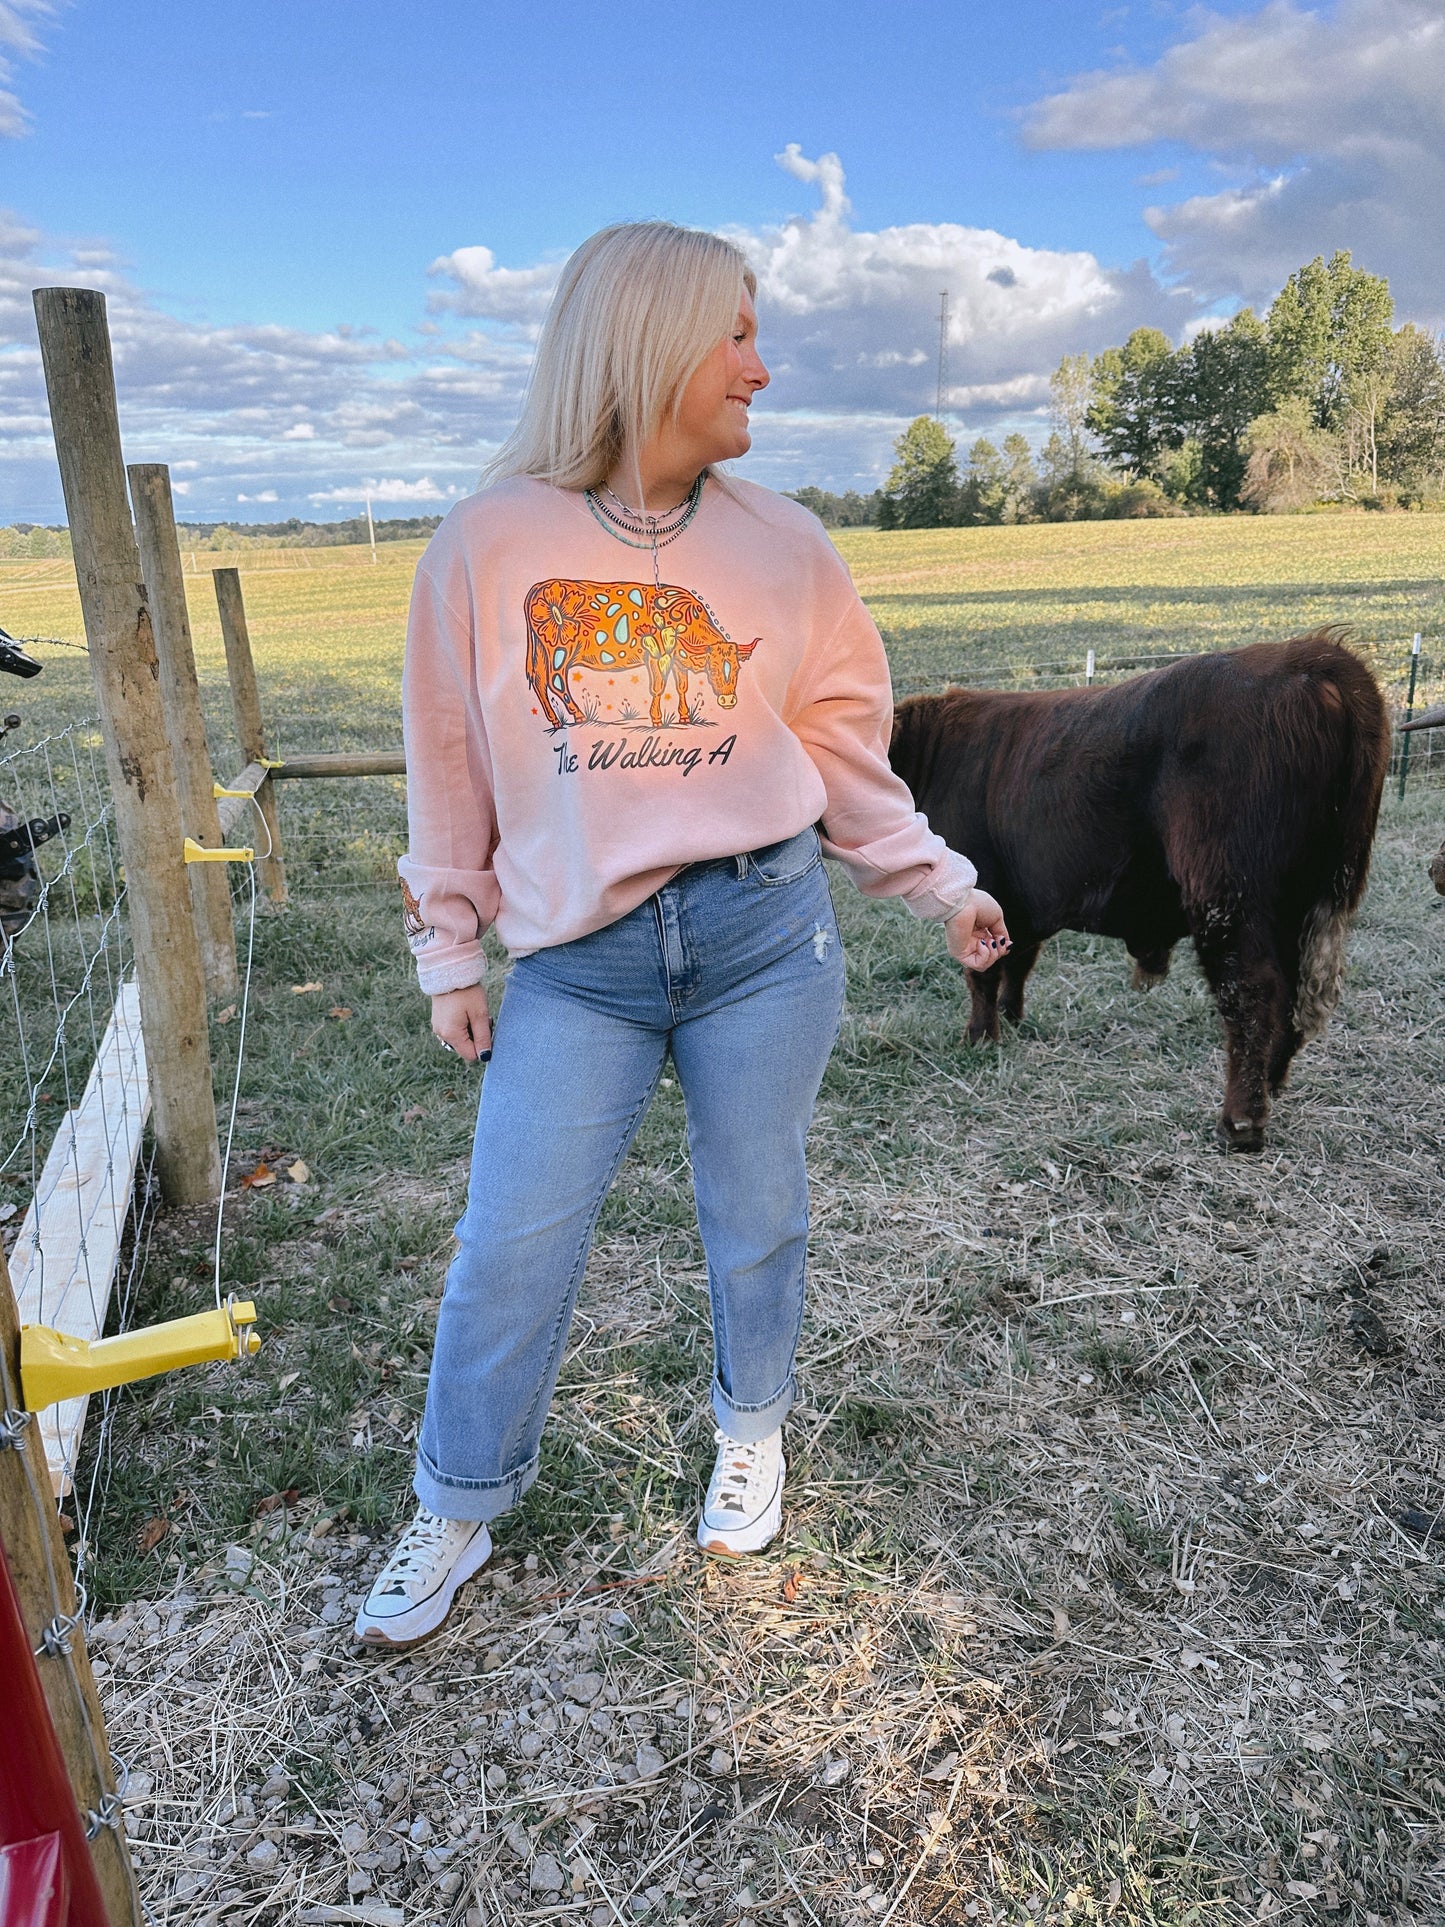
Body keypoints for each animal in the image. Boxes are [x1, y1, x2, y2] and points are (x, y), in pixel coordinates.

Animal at [524, 579, 758, 731]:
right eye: (713, 669)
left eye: (737, 668)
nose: (728, 700)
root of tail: (539, 586)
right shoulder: (657, 655)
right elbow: (658, 687)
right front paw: (657, 720)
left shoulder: (678, 660)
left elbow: (682, 686)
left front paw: (684, 717)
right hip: (559, 648)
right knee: (555, 680)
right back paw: (579, 715)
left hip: (543, 650)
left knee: (539, 680)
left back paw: (555, 720)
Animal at [889, 631, 1390, 1150]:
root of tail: (1309, 655)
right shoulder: (1022, 902)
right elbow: (1017, 960)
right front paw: (1011, 1017)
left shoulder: (982, 888)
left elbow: (983, 972)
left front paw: (980, 1036)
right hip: (1300, 903)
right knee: (1289, 990)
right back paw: (1271, 1082)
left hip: (1228, 895)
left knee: (1250, 990)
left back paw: (1239, 1123)